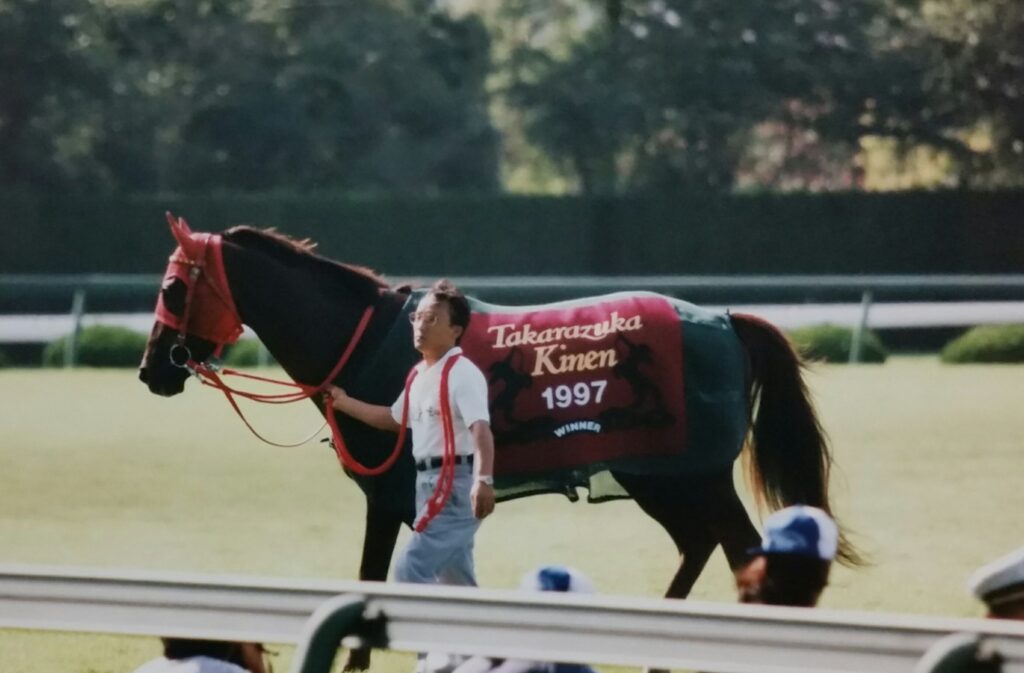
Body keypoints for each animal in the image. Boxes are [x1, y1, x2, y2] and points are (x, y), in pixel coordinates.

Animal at [136, 214, 856, 667]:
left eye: (172, 286)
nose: (151, 369)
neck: (369, 341)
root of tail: (725, 320)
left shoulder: (388, 499)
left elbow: (372, 588)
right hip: (661, 476)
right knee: (700, 543)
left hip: (689, 472)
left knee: (740, 551)